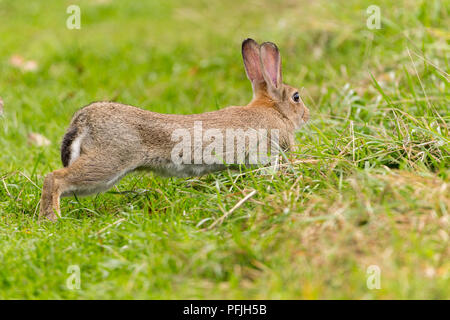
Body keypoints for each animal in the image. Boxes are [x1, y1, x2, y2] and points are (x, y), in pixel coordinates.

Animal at [39, 38, 310, 221]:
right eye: (296, 97)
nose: (307, 115)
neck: (275, 110)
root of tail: (83, 120)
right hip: (109, 162)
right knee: (54, 178)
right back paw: (52, 219)